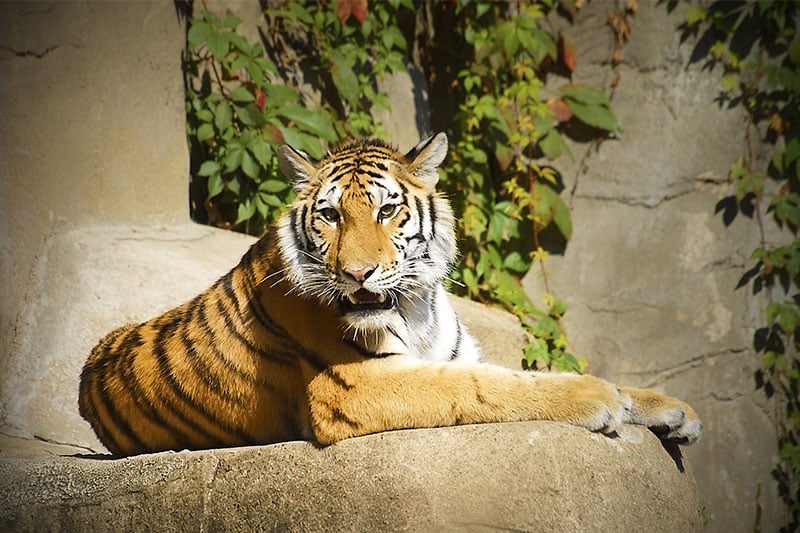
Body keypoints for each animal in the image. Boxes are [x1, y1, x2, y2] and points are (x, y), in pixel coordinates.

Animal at [79, 131, 700, 456]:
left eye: (386, 210)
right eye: (330, 215)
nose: (358, 273)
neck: (416, 307)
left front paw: (672, 409)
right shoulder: (355, 388)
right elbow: (489, 387)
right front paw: (595, 396)